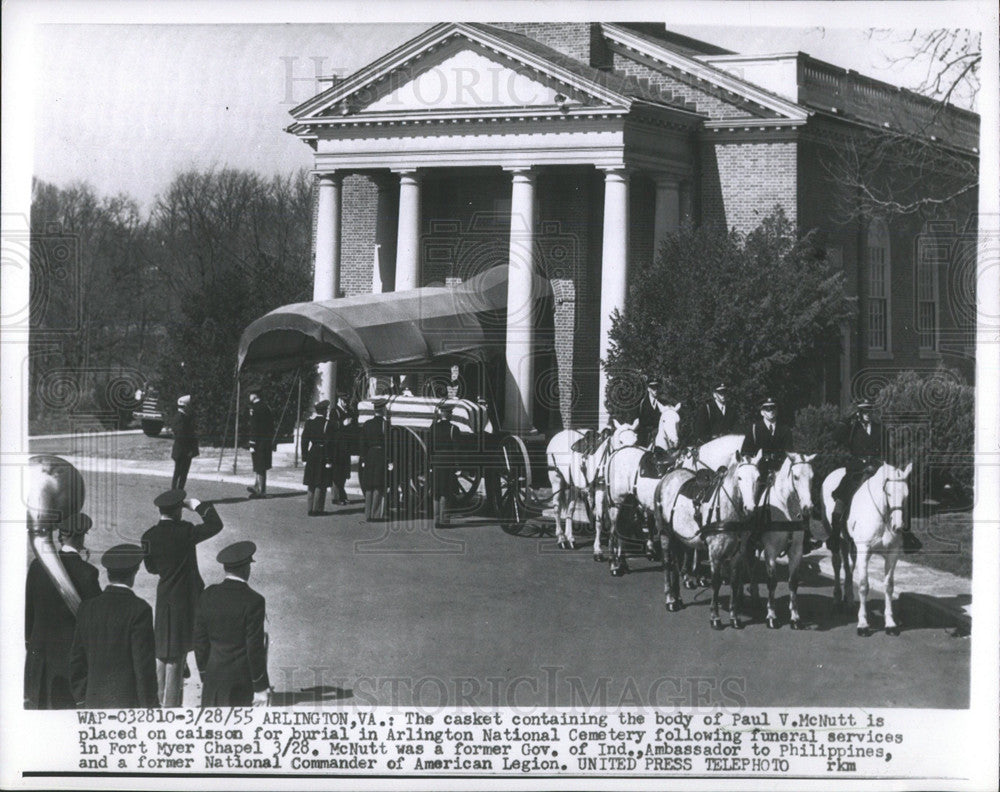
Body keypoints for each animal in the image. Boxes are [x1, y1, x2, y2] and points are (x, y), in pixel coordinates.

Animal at [548, 420, 640, 556]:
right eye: (620, 441)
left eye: (636, 441)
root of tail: (557, 435)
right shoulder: (600, 490)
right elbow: (599, 519)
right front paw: (597, 550)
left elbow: (613, 520)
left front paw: (615, 547)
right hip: (556, 479)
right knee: (557, 508)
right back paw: (561, 539)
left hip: (575, 486)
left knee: (570, 509)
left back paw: (570, 538)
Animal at [596, 406, 684, 572]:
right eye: (663, 420)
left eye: (678, 420)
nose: (675, 442)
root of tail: (617, 452)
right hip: (616, 502)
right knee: (613, 529)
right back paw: (614, 564)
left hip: (629, 503)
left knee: (623, 528)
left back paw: (621, 560)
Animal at [656, 454, 756, 628]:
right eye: (740, 478)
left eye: (758, 477)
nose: (749, 508)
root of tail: (668, 475)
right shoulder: (715, 552)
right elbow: (715, 583)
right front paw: (715, 617)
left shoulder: (738, 553)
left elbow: (735, 582)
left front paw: (734, 617)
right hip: (665, 533)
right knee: (668, 564)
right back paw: (670, 600)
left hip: (678, 536)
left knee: (675, 564)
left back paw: (678, 598)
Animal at [752, 452, 816, 632]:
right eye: (796, 477)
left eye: (812, 477)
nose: (808, 509)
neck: (786, 510)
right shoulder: (771, 551)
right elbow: (772, 582)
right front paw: (771, 616)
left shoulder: (796, 551)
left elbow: (793, 582)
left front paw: (795, 618)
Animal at [824, 460, 912, 636]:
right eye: (889, 494)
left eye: (906, 495)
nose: (898, 526)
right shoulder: (864, 550)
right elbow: (864, 585)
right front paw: (863, 624)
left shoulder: (892, 553)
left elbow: (889, 586)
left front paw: (890, 623)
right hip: (837, 540)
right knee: (837, 565)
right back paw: (837, 599)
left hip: (849, 543)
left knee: (849, 567)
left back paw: (849, 600)